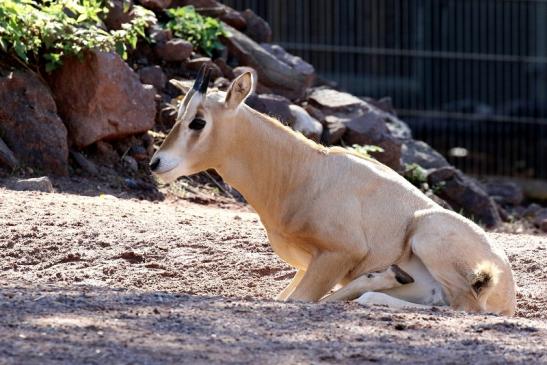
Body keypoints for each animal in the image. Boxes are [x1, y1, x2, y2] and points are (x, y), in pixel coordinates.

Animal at [150, 67, 520, 314]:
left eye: (199, 121)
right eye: (179, 115)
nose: (156, 162)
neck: (304, 171)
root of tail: (506, 288)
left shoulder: (338, 254)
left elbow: (298, 300)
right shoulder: (307, 266)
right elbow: (282, 298)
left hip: (428, 234)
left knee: (462, 307)